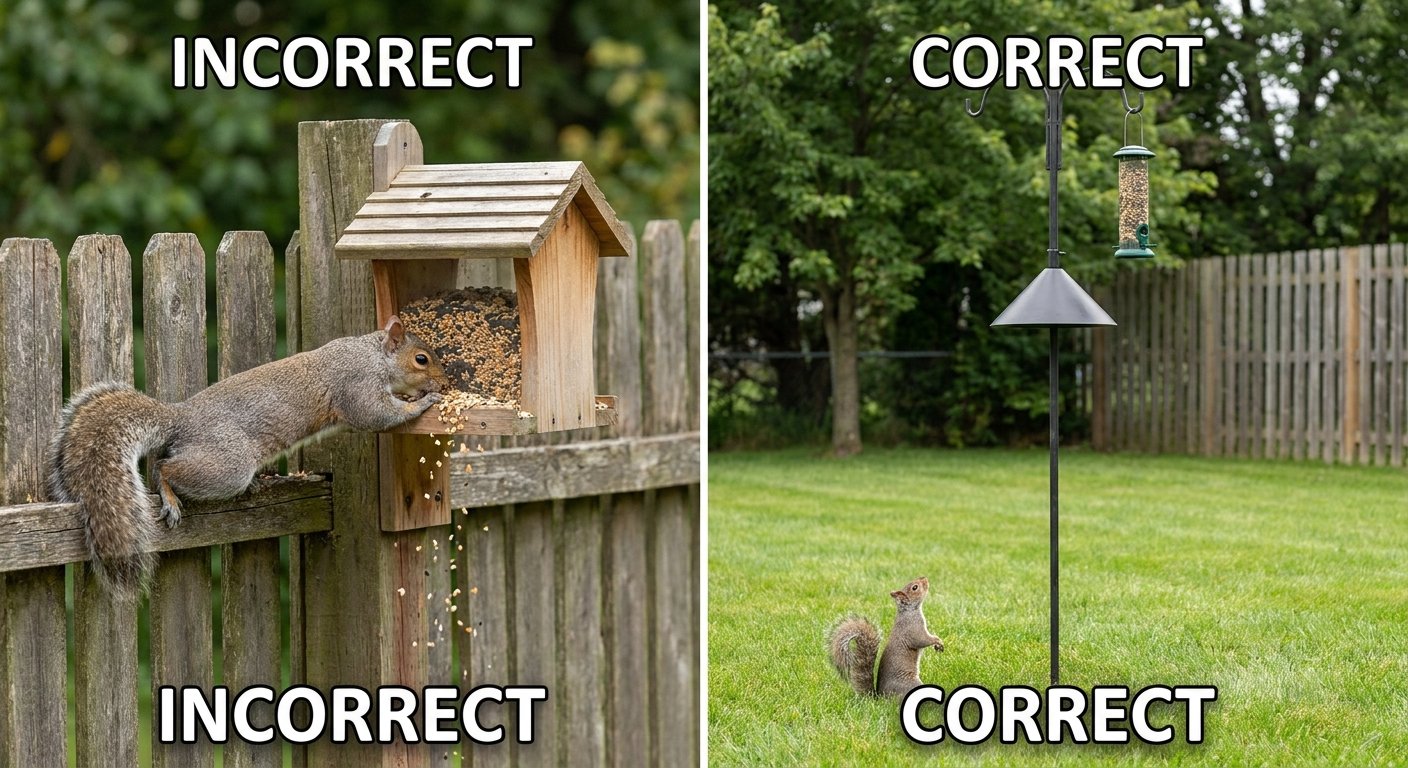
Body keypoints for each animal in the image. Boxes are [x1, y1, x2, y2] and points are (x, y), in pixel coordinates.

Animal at [47, 316, 448, 595]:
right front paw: (422, 402)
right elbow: (376, 414)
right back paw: (171, 498)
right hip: (227, 465)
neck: (373, 355)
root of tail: (180, 420)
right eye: (421, 359)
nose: (443, 382)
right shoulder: (357, 385)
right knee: (164, 466)